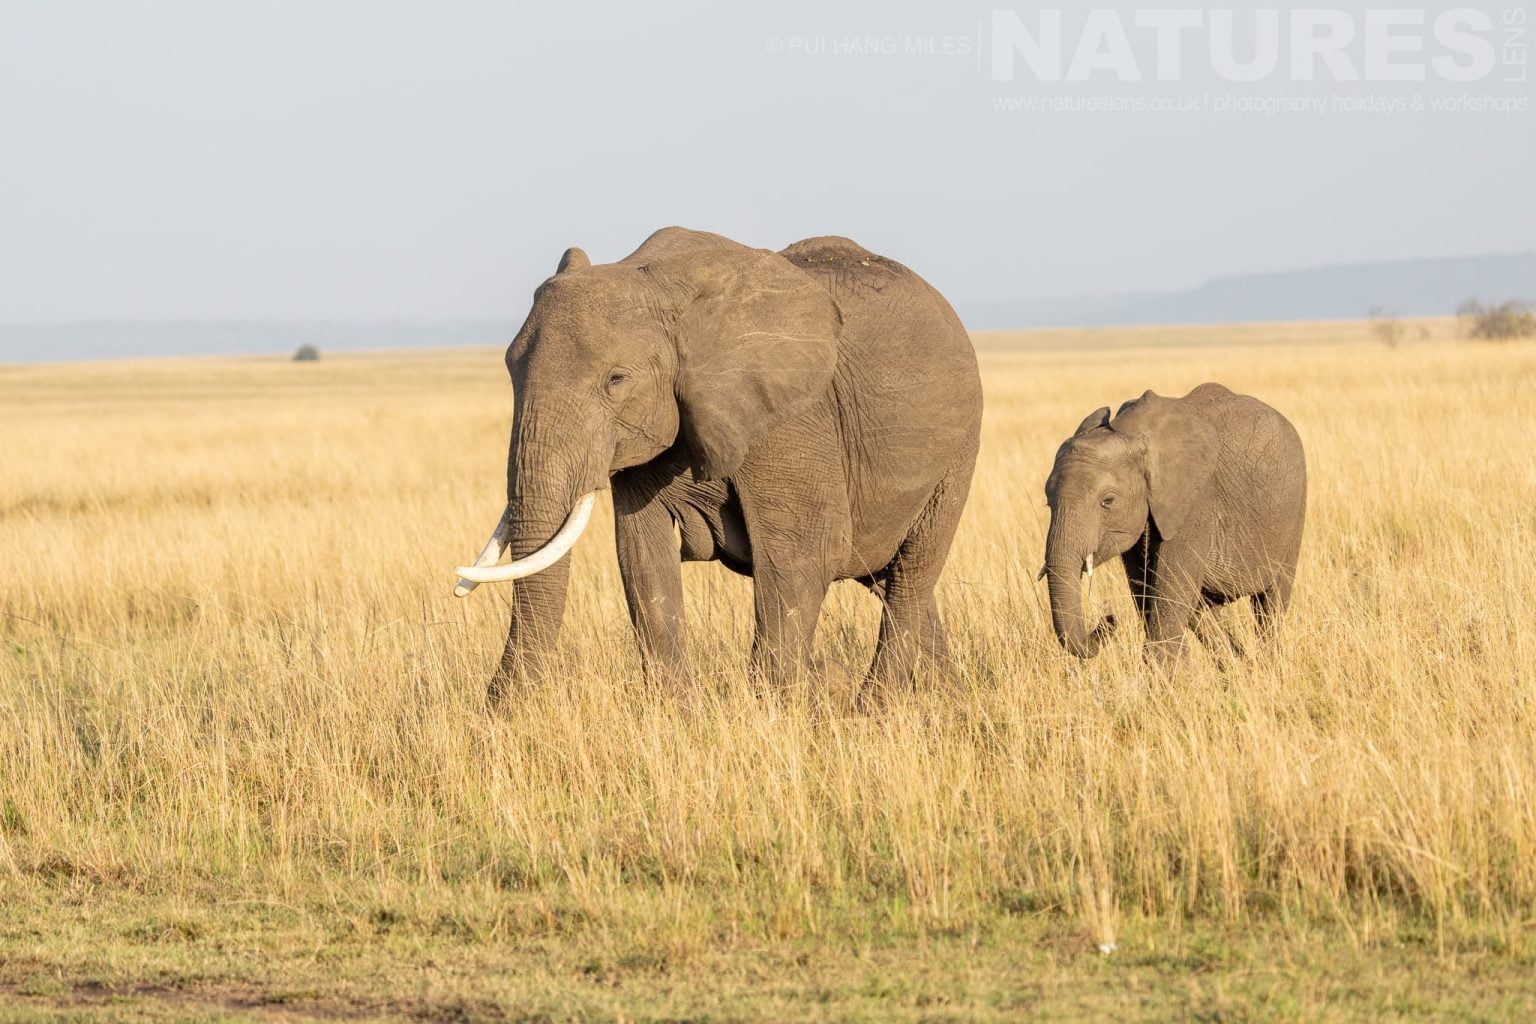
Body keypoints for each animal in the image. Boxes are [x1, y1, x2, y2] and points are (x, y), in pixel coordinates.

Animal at [453, 227, 983, 702]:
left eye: (616, 380)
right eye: (509, 368)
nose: (496, 706)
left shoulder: (793, 420)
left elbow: (802, 556)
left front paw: (776, 713)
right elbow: (642, 559)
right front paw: (677, 716)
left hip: (959, 452)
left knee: (913, 572)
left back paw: (873, 709)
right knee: (886, 579)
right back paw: (947, 698)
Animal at [1041, 383, 1305, 665]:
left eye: (1107, 501)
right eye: (1048, 503)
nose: (1108, 618)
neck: (1131, 433)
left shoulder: (1194, 505)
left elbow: (1169, 593)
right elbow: (1146, 589)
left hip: (1293, 514)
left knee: (1271, 603)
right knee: (1202, 610)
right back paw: (1238, 665)